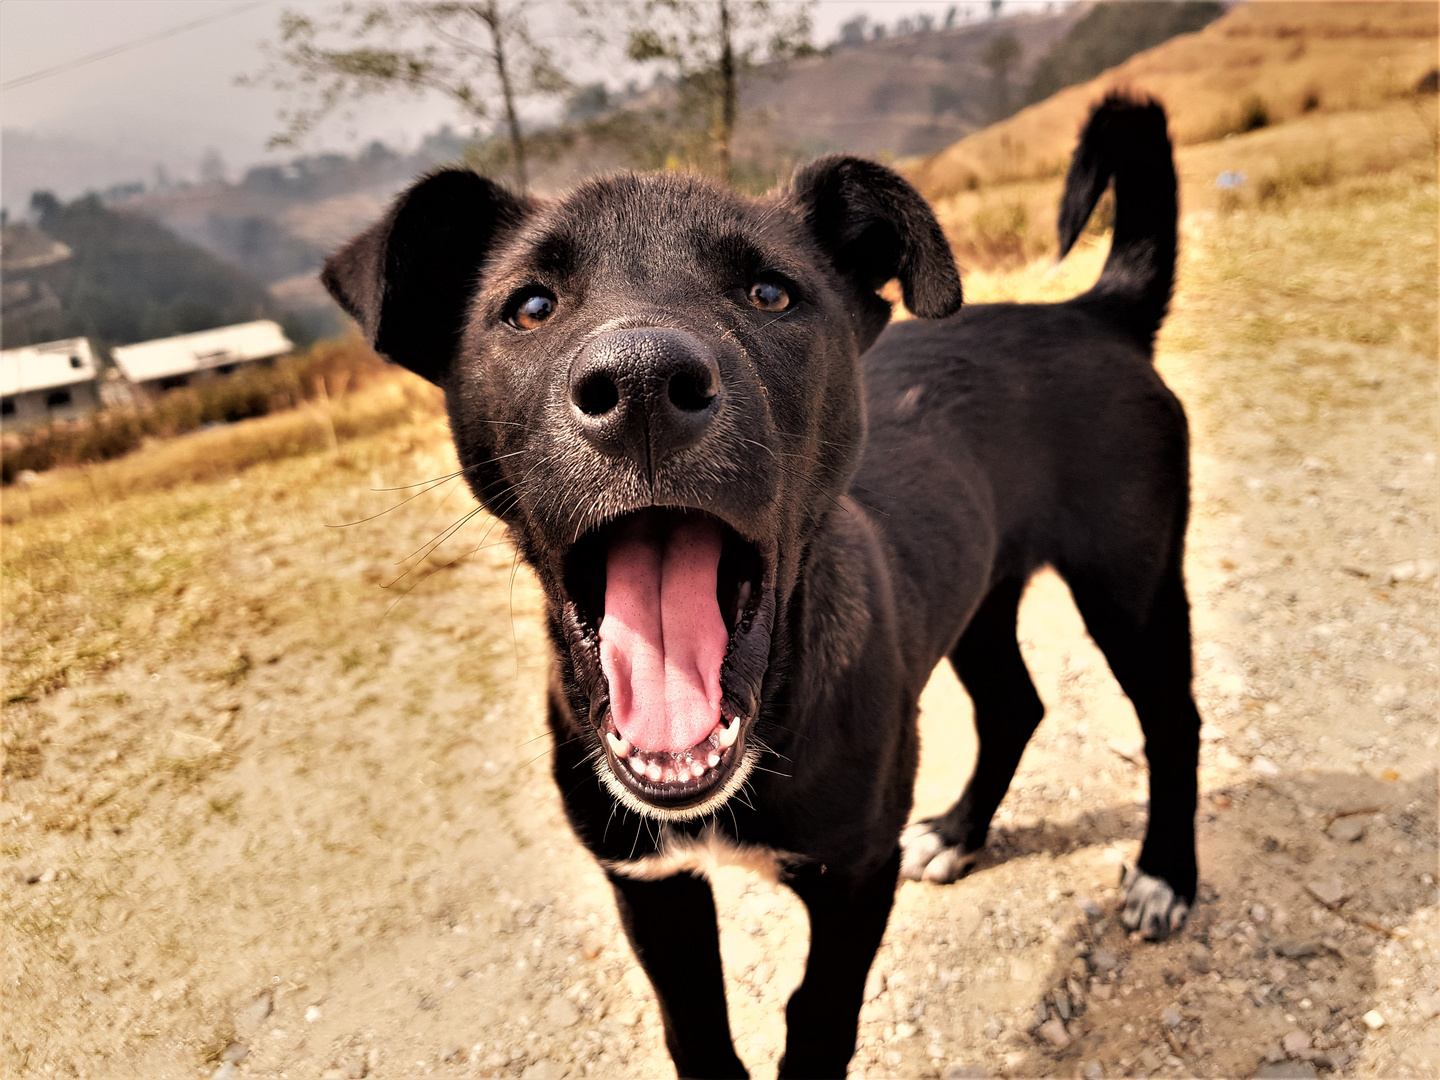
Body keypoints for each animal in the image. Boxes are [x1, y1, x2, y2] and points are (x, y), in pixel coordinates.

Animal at [324, 92, 1192, 1080]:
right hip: (979, 590)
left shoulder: (854, 876)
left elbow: (818, 1019)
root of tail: (1095, 312)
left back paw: (1165, 877)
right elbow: (695, 1028)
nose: (641, 385)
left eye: (770, 294)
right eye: (531, 307)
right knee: (1016, 704)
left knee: (1174, 722)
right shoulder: (649, 882)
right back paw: (959, 835)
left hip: (1132, 583)